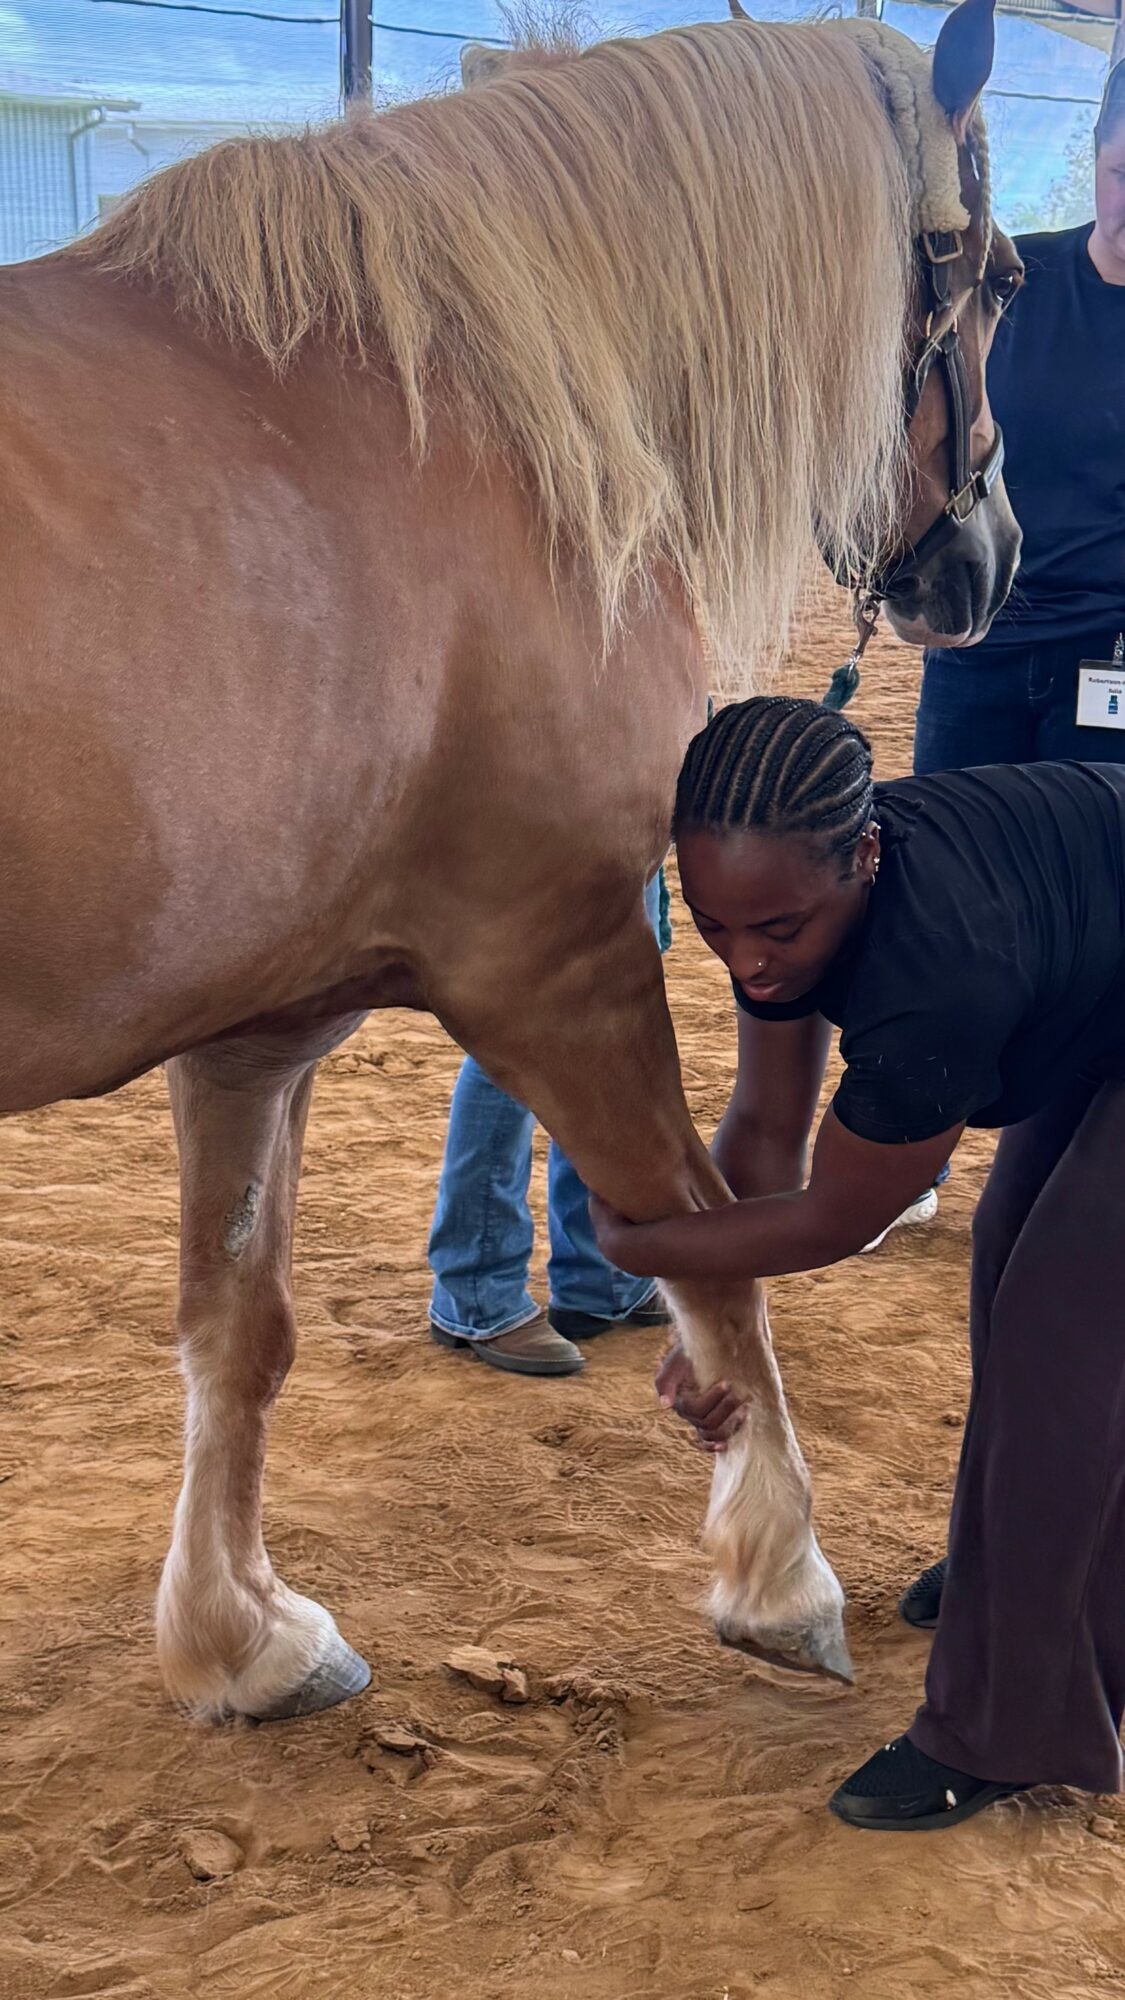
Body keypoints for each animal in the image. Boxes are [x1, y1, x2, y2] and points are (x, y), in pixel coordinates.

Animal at [0, 0, 1021, 1723]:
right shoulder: (561, 961)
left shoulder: (259, 1027)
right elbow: (708, 1244)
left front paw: (243, 1639)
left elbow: (237, 1327)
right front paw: (781, 1580)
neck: (450, 414)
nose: (985, 560)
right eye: (1008, 279)